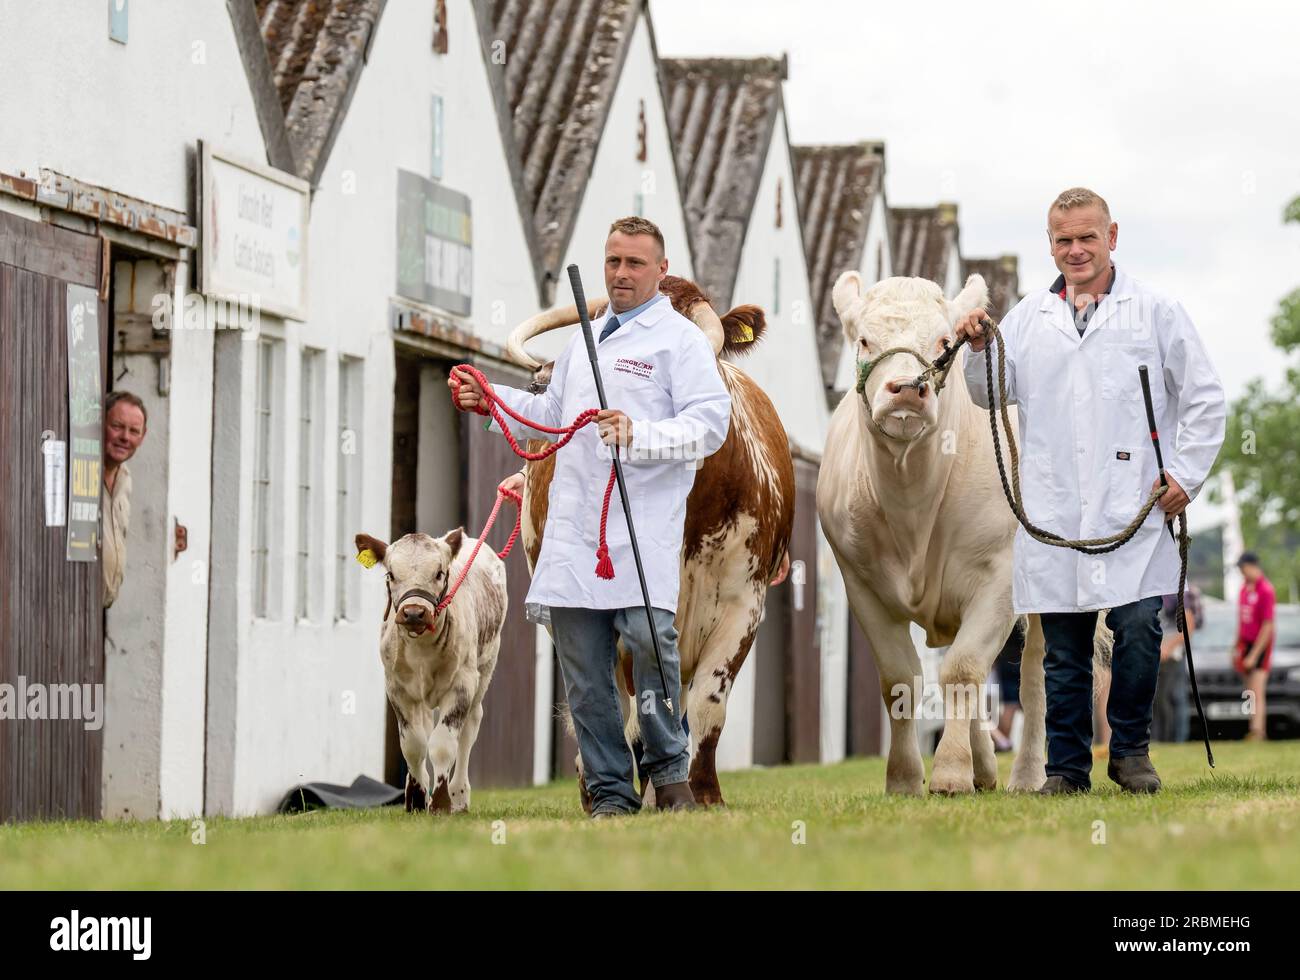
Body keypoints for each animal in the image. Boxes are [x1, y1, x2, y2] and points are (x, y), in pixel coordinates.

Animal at [816, 272, 1050, 795]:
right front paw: (904, 777)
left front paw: (949, 772)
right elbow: (900, 679)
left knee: (1035, 672)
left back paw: (1027, 773)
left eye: (945, 343)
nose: (906, 389)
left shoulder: (1000, 578)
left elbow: (962, 670)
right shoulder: (860, 584)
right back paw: (985, 765)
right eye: (864, 340)